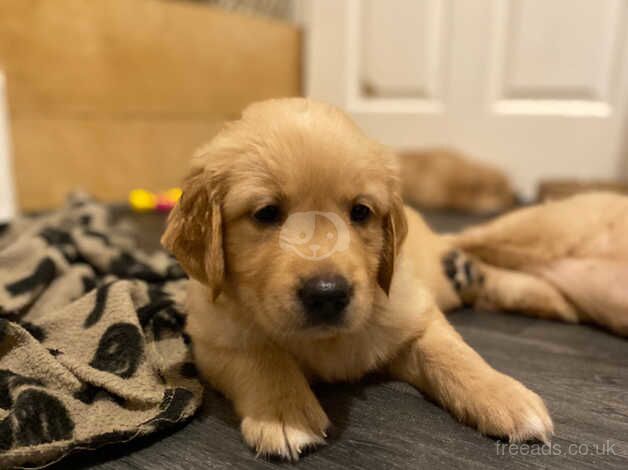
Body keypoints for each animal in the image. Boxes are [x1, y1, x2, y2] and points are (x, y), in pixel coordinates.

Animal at [161, 97, 548, 460]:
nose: (327, 294)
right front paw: (286, 414)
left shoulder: (414, 312)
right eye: (266, 213)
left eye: (361, 211)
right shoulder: (214, 338)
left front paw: (505, 396)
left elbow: (452, 354)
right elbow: (262, 357)